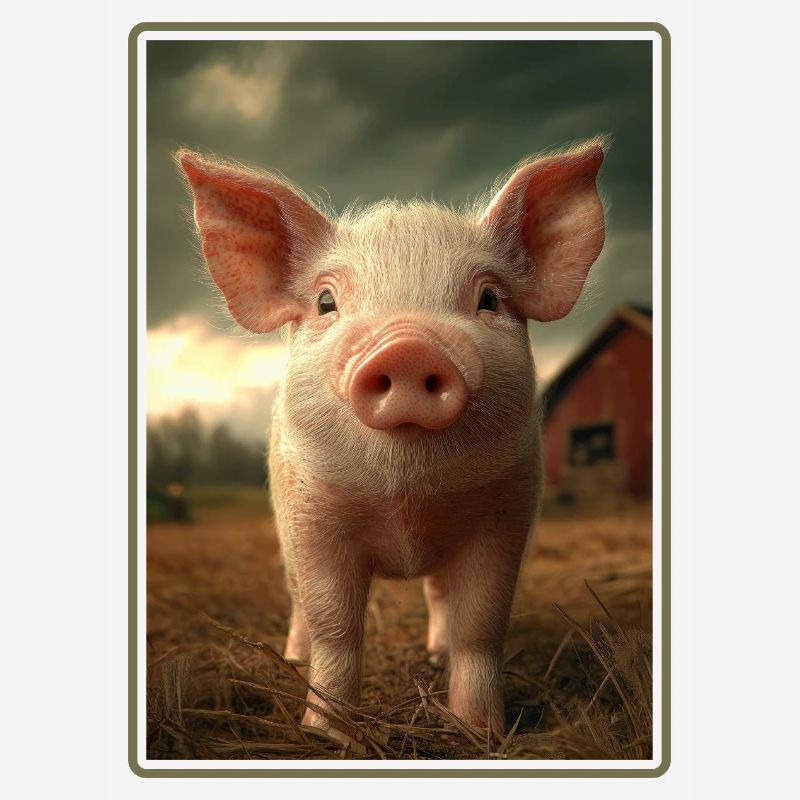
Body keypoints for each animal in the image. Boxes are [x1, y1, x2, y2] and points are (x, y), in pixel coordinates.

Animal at [177, 139, 606, 740]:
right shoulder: (314, 517)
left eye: (489, 299)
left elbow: (480, 625)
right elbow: (336, 627)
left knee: (439, 597)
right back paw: (293, 657)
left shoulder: (504, 514)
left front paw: (481, 733)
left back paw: (434, 655)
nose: (407, 346)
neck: (406, 502)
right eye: (326, 302)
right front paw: (326, 735)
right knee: (299, 602)